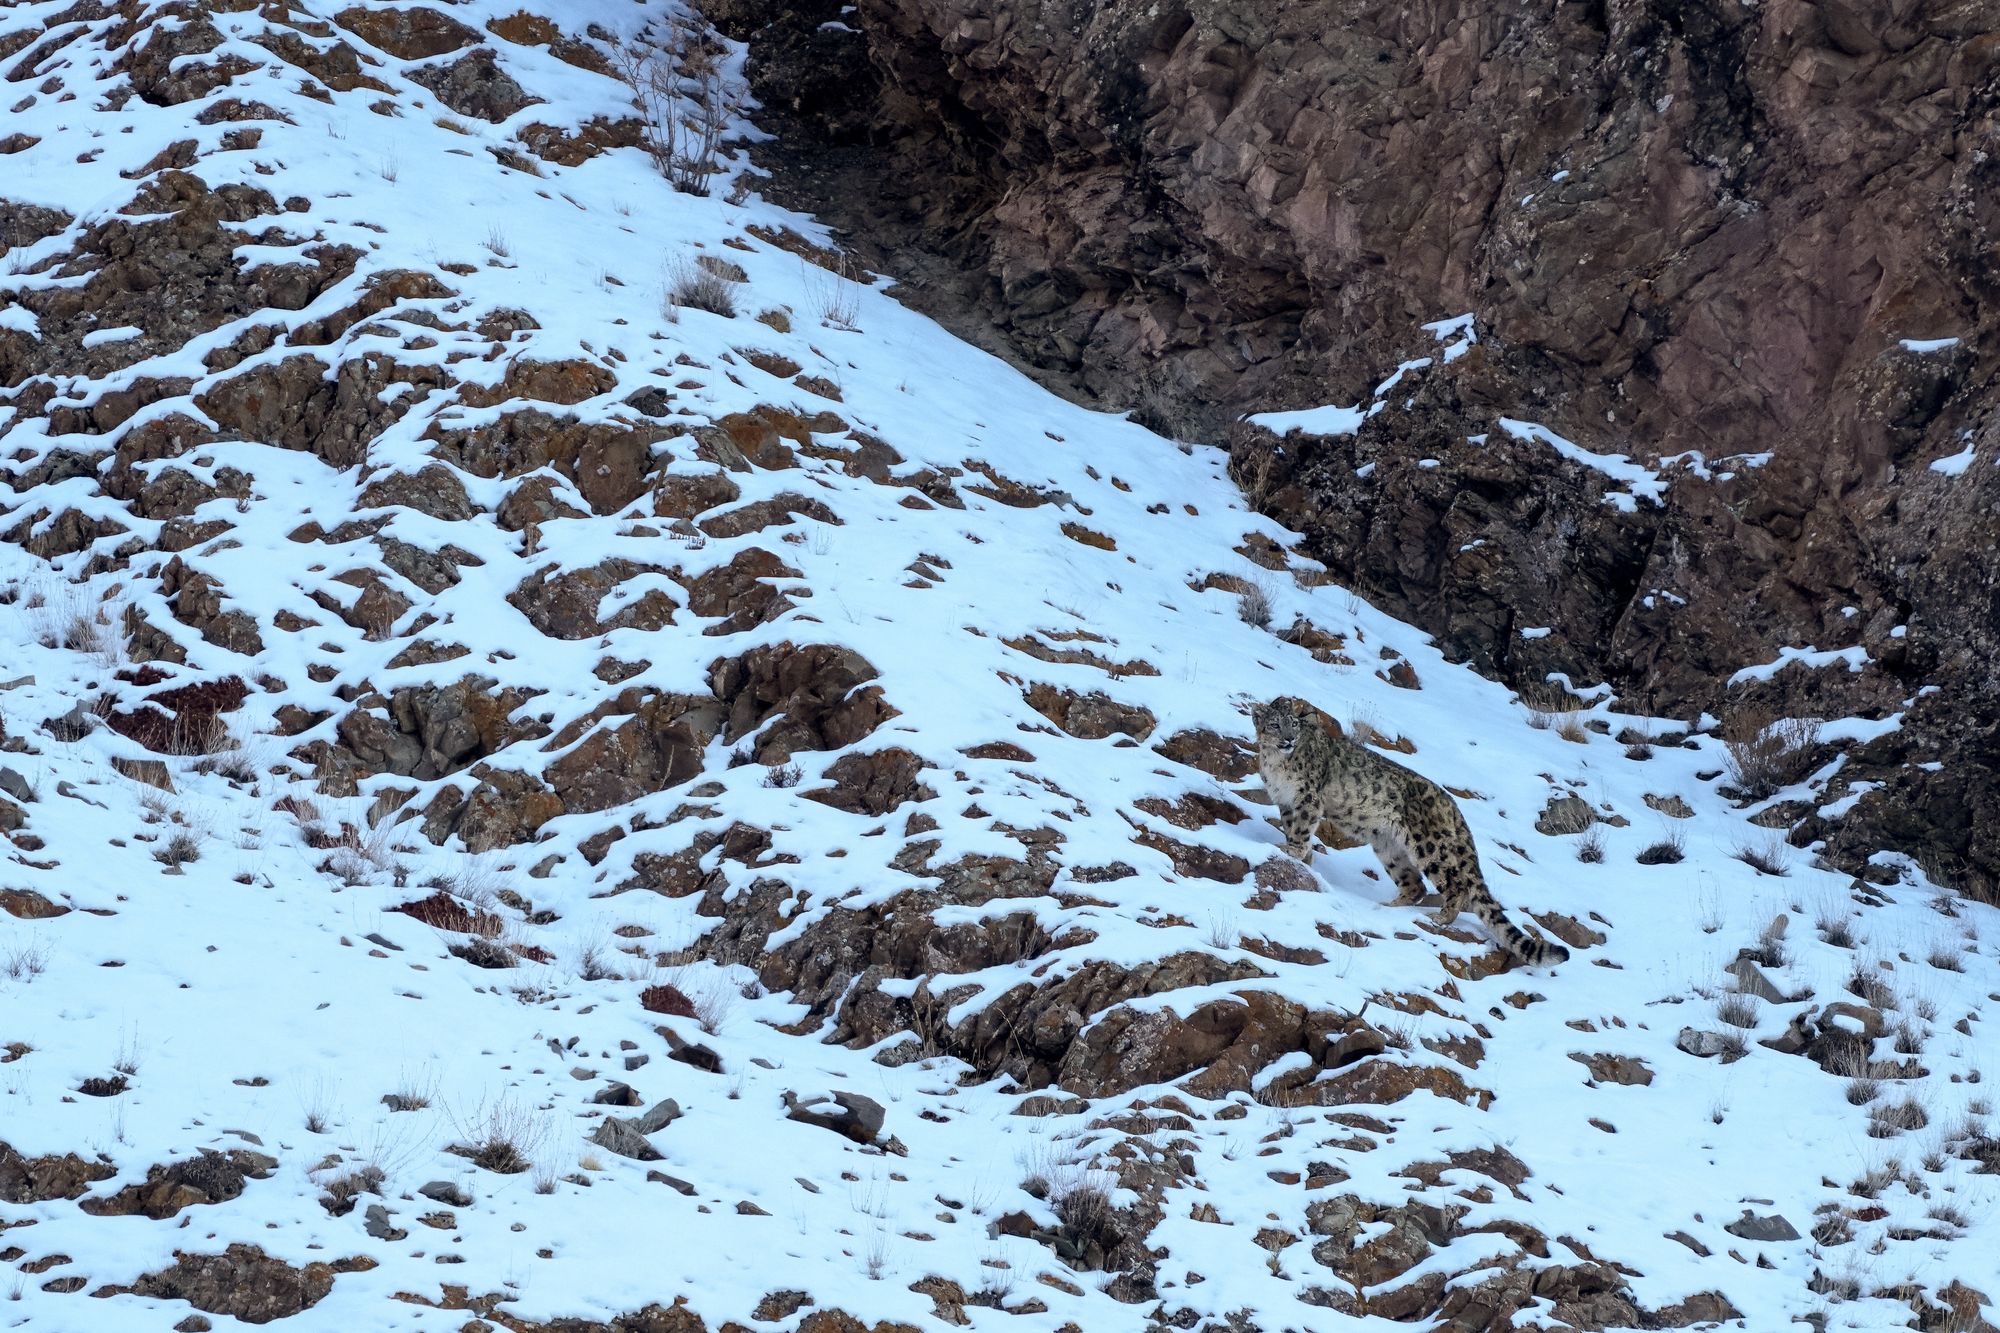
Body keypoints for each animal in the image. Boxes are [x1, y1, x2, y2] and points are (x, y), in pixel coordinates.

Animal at [1250, 696, 1569, 967]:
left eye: (1294, 723)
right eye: (1275, 724)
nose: (1289, 739)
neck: (1276, 763)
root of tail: (1453, 806)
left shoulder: (1306, 799)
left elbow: (1302, 830)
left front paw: (1292, 851)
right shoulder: (1285, 801)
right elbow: (1293, 829)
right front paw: (1303, 858)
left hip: (1430, 847)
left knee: (1456, 885)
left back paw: (1441, 917)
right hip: (1389, 848)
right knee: (1415, 885)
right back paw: (1389, 906)